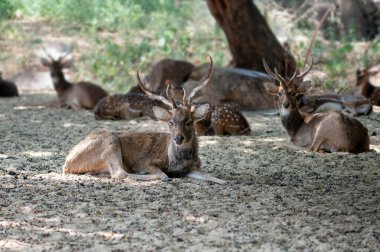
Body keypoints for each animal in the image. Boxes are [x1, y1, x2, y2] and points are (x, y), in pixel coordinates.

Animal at [62, 56, 226, 183]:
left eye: (189, 122)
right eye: (170, 122)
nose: (178, 138)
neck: (176, 161)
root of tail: (67, 163)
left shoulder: (192, 168)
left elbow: (215, 178)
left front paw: (223, 180)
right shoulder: (145, 161)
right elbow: (161, 173)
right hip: (110, 142)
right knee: (121, 173)